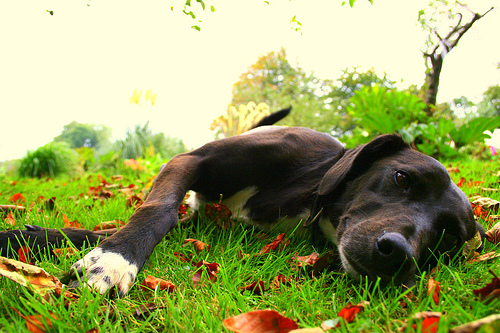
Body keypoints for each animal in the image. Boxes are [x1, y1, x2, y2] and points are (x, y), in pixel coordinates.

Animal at [0, 110, 484, 294]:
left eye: (448, 239)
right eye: (403, 178)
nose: (398, 254)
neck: (308, 189)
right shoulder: (190, 161)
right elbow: (154, 211)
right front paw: (115, 260)